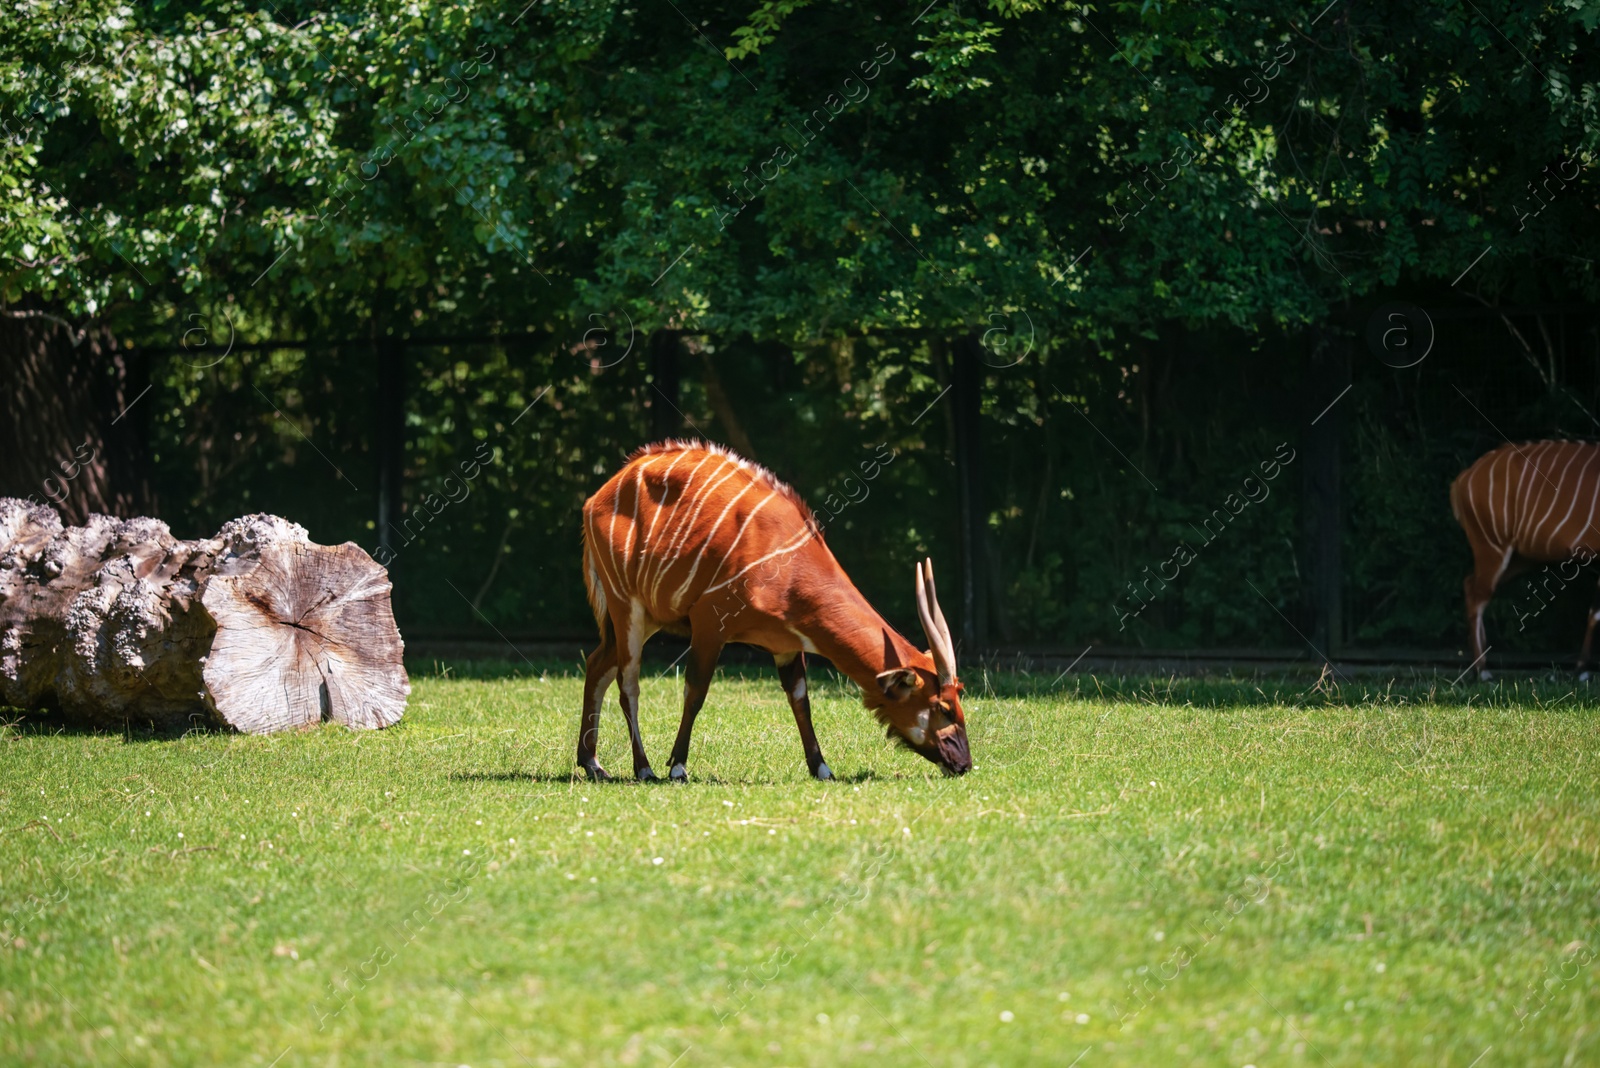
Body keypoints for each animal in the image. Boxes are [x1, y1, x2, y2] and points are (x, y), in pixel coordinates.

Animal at [579, 438, 966, 780]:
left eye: (960, 697)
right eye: (942, 708)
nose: (964, 763)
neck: (789, 560)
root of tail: (596, 498)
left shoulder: (786, 646)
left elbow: (800, 699)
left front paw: (822, 769)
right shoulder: (709, 624)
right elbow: (695, 691)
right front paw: (677, 768)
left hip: (647, 619)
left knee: (597, 665)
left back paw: (592, 764)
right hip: (626, 606)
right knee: (628, 684)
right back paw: (642, 768)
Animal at [1459, 441, 1600, 674]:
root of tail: (1464, 478)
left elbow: (1595, 611)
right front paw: (1581, 669)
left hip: (1520, 558)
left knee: (1470, 583)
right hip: (1491, 546)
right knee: (1477, 595)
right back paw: (1482, 670)